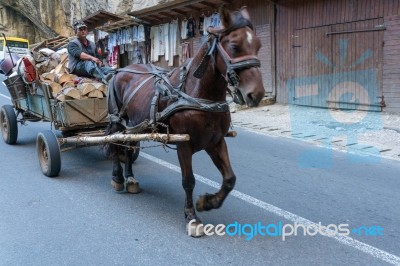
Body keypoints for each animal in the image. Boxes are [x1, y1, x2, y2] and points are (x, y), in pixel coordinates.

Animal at [105, 4, 266, 237]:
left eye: (258, 45)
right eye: (235, 46)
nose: (257, 94)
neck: (197, 94)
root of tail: (121, 70)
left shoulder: (215, 142)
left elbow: (229, 179)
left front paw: (207, 202)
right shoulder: (184, 143)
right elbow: (188, 180)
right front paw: (192, 216)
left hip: (134, 125)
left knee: (127, 147)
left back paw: (131, 179)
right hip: (118, 121)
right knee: (116, 143)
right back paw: (118, 178)